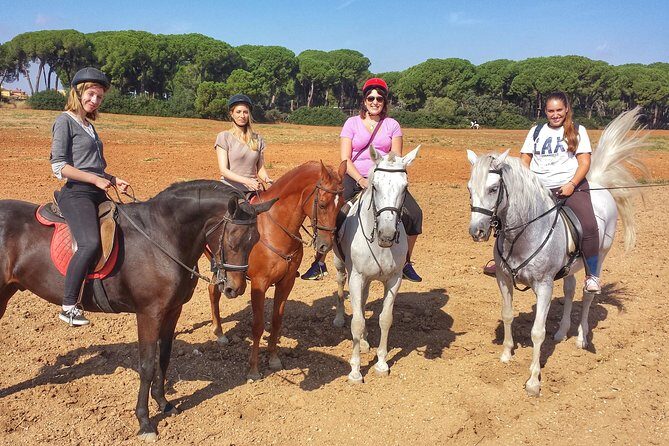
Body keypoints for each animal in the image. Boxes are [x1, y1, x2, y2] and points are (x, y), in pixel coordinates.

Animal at [0, 180, 276, 441]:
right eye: (232, 239)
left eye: (255, 240)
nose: (234, 288)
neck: (162, 236)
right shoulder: (148, 314)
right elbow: (146, 365)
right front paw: (144, 421)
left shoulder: (173, 310)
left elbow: (163, 358)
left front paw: (164, 404)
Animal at [208, 161, 347, 380]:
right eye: (323, 204)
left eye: (341, 204)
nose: (326, 245)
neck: (273, 230)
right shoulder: (259, 284)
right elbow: (257, 326)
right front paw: (253, 369)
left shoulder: (286, 282)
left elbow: (276, 320)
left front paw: (273, 359)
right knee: (213, 293)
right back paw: (219, 333)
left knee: (213, 290)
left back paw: (220, 332)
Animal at [333, 145, 420, 383]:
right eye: (374, 186)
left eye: (405, 187)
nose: (386, 234)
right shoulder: (356, 277)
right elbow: (357, 321)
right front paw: (355, 371)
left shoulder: (394, 280)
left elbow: (385, 319)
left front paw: (381, 363)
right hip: (340, 265)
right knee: (341, 286)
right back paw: (340, 319)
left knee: (362, 302)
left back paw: (364, 341)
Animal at [466, 107, 649, 396]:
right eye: (469, 189)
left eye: (493, 189)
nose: (477, 231)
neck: (524, 232)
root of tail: (598, 184)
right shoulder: (503, 279)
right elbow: (507, 315)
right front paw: (506, 354)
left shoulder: (544, 285)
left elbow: (537, 332)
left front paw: (533, 381)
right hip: (570, 267)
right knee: (571, 289)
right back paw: (563, 332)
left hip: (599, 258)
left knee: (587, 296)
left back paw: (581, 338)